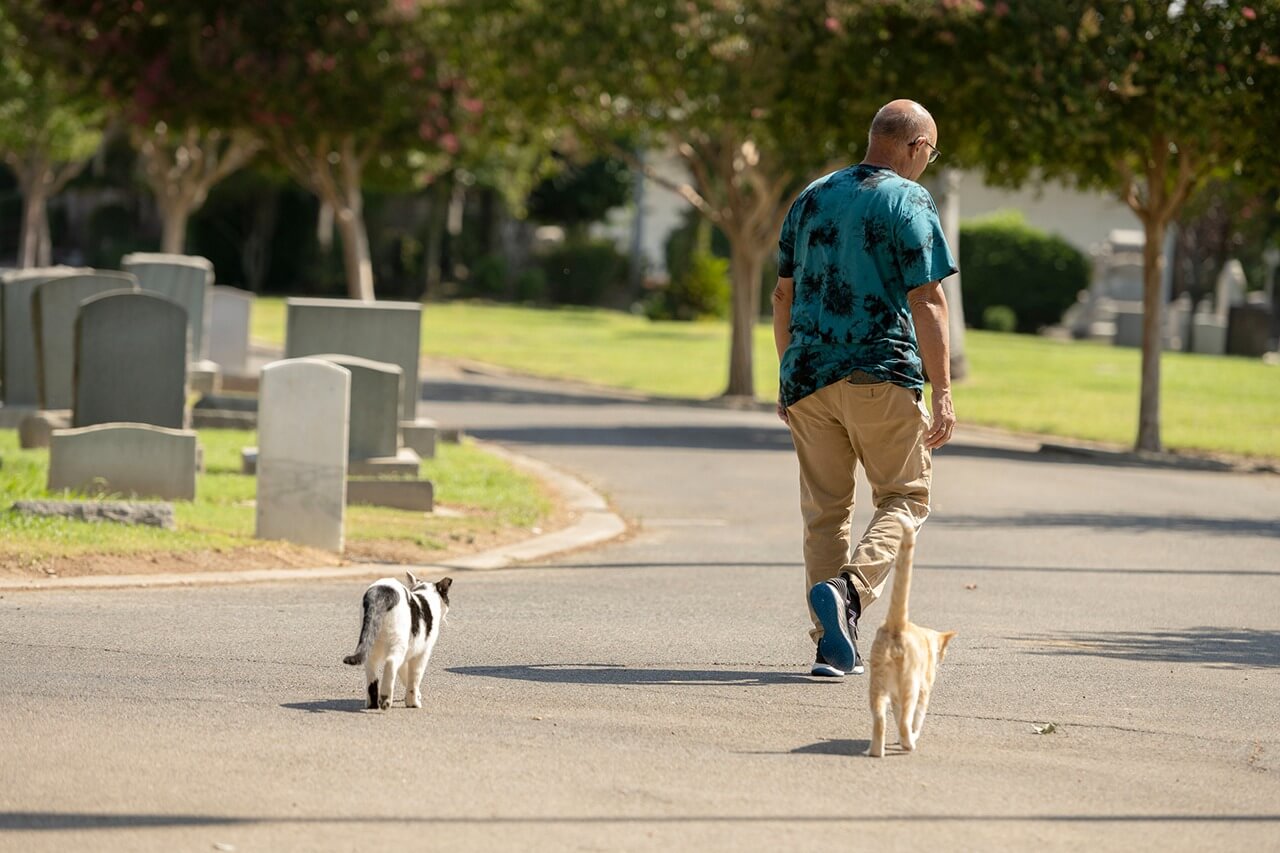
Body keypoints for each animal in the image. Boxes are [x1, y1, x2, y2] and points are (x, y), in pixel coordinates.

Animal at [345, 573, 455, 706]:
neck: (424, 595)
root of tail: (381, 591)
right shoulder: (423, 652)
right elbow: (414, 677)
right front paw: (413, 702)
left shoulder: (409, 653)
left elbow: (405, 675)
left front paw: (412, 697)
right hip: (398, 642)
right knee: (390, 662)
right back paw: (386, 699)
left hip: (371, 643)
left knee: (371, 671)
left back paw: (372, 704)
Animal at [870, 507, 952, 753]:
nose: (941, 659)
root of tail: (896, 624)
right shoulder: (924, 689)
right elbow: (916, 717)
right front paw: (909, 736)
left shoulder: (895, 697)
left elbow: (895, 717)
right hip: (911, 686)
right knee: (907, 720)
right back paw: (909, 743)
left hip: (877, 685)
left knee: (879, 718)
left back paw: (876, 751)